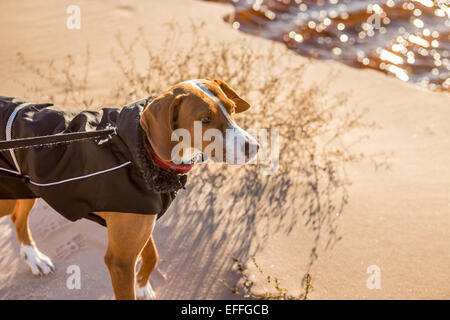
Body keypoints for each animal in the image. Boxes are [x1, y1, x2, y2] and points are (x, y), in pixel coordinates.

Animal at [0, 78, 258, 300]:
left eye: (232, 109)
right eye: (204, 119)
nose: (254, 147)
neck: (140, 148)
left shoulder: (142, 218)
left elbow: (152, 255)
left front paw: (143, 285)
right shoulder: (120, 260)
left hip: (26, 188)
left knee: (18, 217)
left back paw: (34, 257)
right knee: (16, 215)